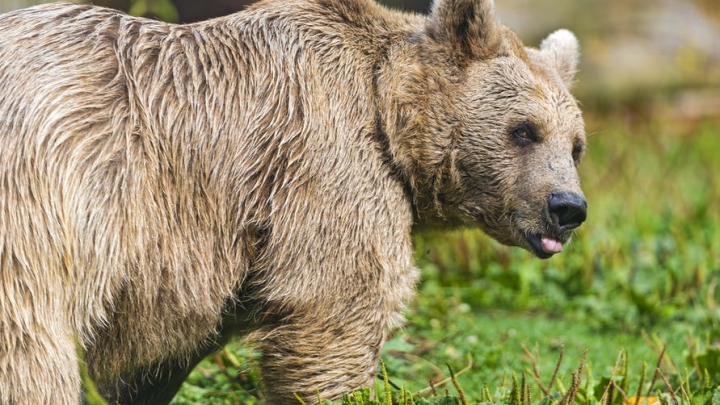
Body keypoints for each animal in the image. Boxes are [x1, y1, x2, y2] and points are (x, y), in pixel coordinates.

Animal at [0, 0, 584, 402]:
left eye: (576, 144)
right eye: (524, 130)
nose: (568, 207)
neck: (388, 114)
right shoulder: (322, 167)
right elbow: (337, 314)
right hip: (47, 198)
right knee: (30, 348)